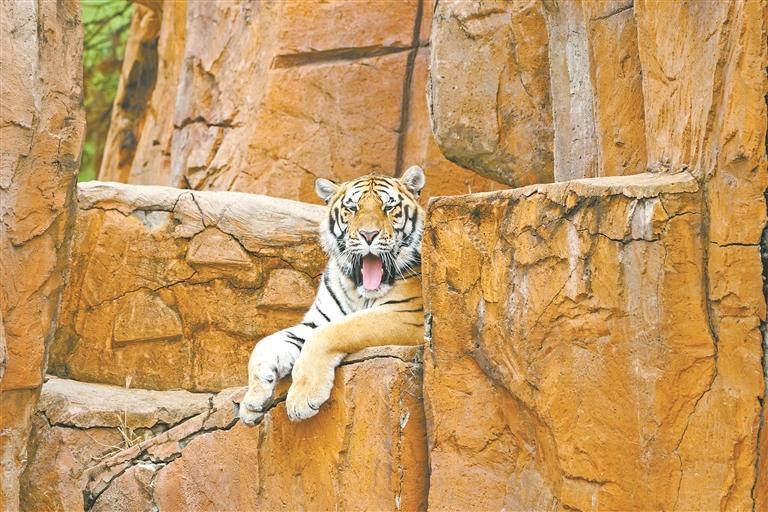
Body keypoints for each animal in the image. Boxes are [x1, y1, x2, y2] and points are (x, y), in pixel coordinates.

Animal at [239, 166, 426, 424]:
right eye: (352, 208)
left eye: (389, 208)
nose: (369, 235)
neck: (359, 290)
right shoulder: (316, 320)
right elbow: (265, 344)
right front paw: (252, 401)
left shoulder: (407, 314)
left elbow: (330, 333)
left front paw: (301, 398)